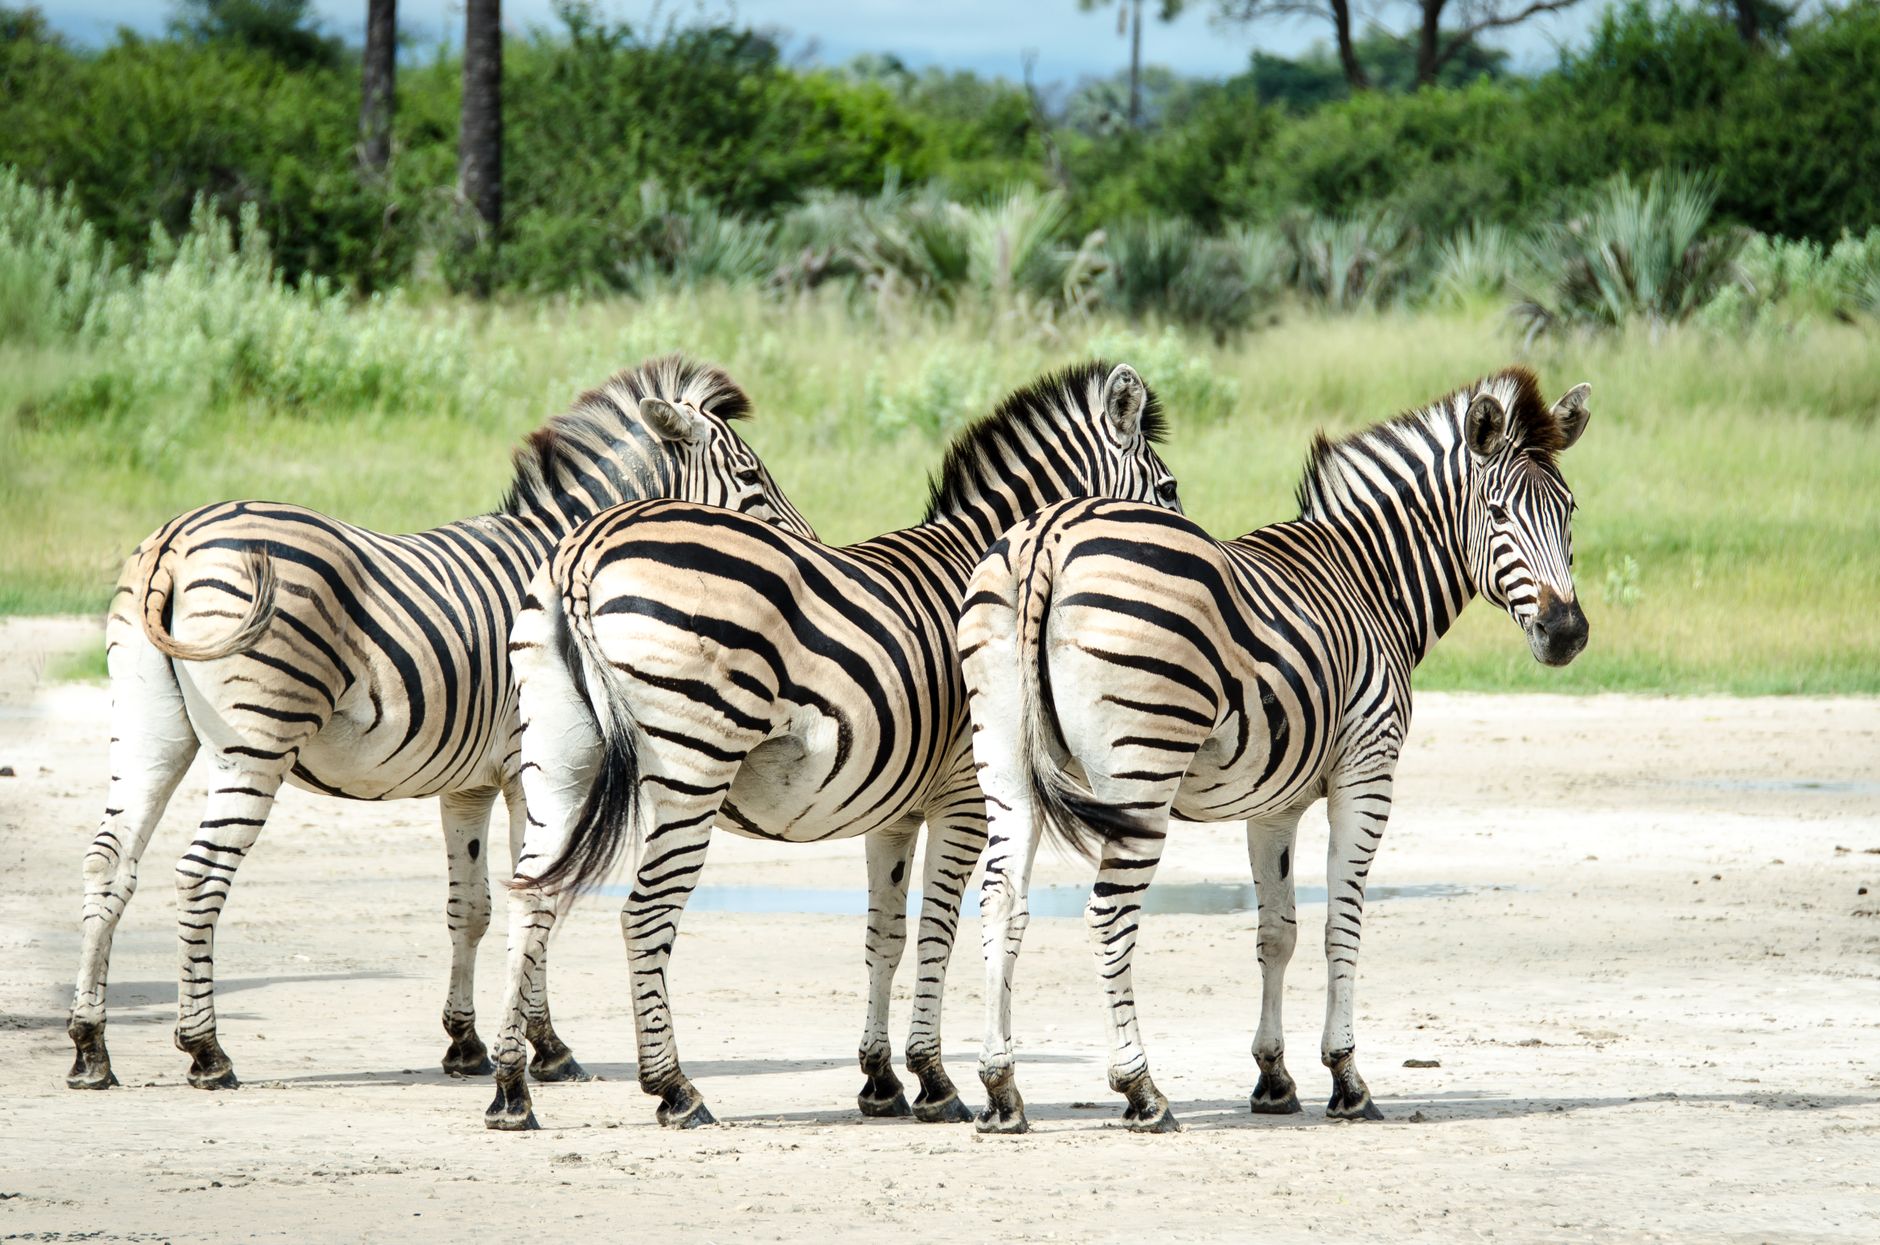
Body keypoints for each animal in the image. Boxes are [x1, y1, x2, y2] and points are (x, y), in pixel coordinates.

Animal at [66, 355, 813, 1094]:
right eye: (752, 479)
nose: (810, 555)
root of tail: (176, 540)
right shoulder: (534, 765)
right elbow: (532, 893)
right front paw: (547, 1047)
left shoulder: (469, 781)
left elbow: (472, 907)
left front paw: (466, 1043)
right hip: (256, 741)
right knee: (200, 874)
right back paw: (206, 1051)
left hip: (151, 729)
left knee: (110, 860)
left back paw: (90, 1046)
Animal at [484, 360, 1181, 1131]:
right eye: (1169, 490)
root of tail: (583, 553)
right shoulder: (965, 795)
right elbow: (939, 927)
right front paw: (936, 1080)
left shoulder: (893, 808)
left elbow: (885, 933)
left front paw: (882, 1080)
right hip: (691, 766)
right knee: (644, 914)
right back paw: (675, 1089)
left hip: (557, 761)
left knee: (529, 899)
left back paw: (511, 1087)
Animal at [958, 367, 1591, 1133]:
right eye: (1497, 513)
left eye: (1570, 511)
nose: (1567, 634)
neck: (1369, 580)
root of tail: (1046, 537)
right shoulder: (1366, 773)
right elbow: (1342, 924)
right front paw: (1346, 1079)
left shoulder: (1273, 804)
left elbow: (1277, 931)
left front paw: (1273, 1077)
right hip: (1141, 771)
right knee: (1109, 914)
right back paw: (1142, 1089)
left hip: (1006, 766)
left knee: (1000, 904)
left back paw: (1000, 1088)